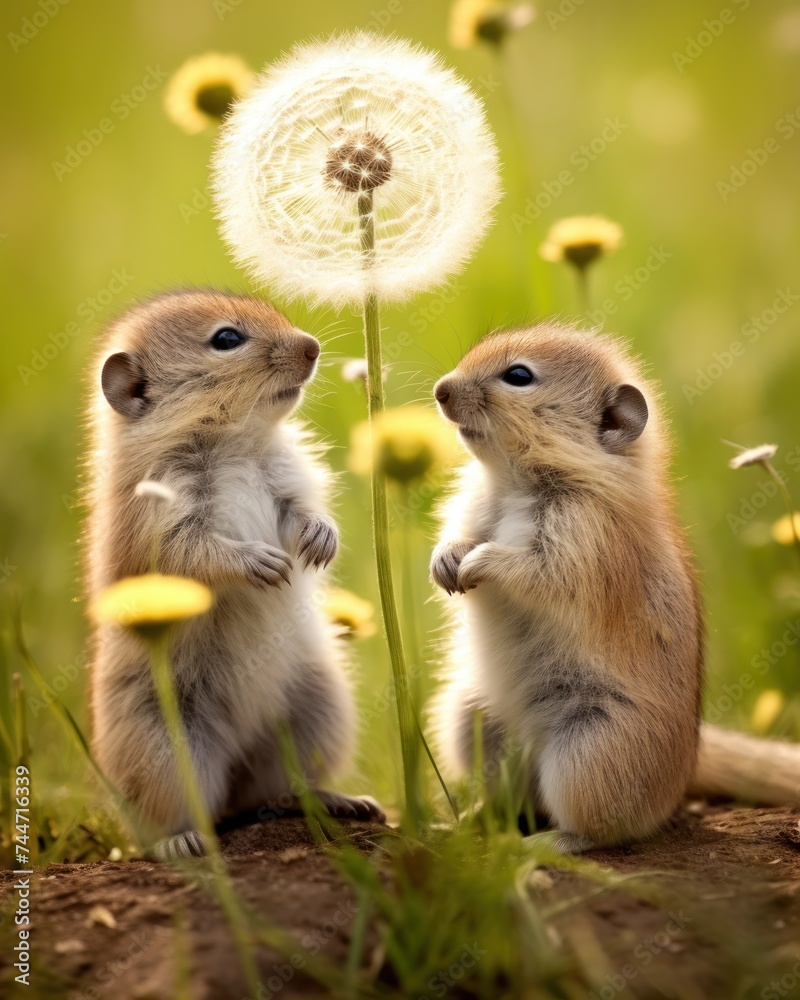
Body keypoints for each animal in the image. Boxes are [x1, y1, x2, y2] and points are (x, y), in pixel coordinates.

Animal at [86, 290, 384, 860]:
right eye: (226, 338)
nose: (313, 346)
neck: (233, 444)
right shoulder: (164, 528)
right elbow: (199, 553)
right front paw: (263, 564)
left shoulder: (288, 483)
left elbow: (301, 513)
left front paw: (321, 542)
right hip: (165, 749)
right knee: (173, 818)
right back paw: (181, 843)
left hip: (318, 713)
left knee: (279, 791)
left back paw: (344, 801)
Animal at [432, 322, 800, 852]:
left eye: (518, 375)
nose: (440, 390)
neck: (514, 482)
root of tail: (689, 768)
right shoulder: (472, 508)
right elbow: (458, 534)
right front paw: (445, 561)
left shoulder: (579, 547)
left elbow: (526, 569)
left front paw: (476, 563)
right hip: (470, 722)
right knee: (511, 798)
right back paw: (462, 823)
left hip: (588, 753)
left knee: (598, 829)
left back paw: (548, 844)